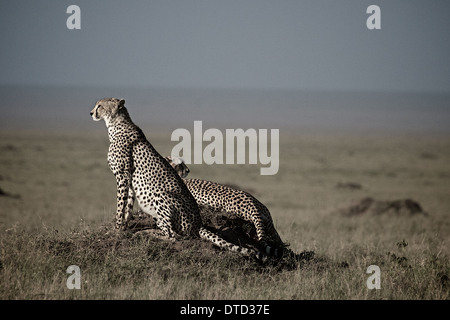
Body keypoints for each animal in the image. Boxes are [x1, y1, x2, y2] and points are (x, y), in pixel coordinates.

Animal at [89, 99, 262, 258]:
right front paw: (124, 227)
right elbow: (128, 206)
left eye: (100, 106)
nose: (91, 113)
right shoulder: (130, 181)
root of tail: (198, 223)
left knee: (173, 235)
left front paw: (117, 228)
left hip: (161, 195)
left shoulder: (122, 177)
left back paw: (150, 233)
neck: (116, 125)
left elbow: (120, 205)